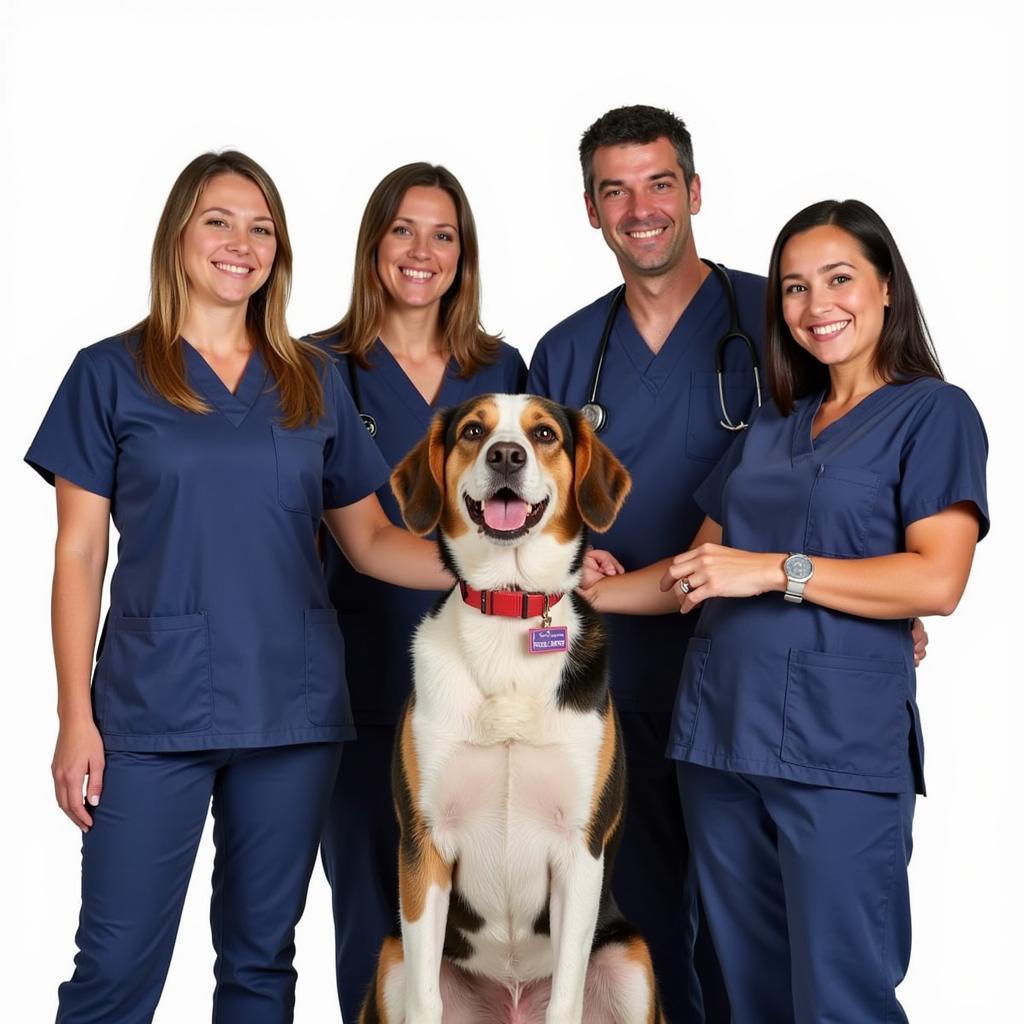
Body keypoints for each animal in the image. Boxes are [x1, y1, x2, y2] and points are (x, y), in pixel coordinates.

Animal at [360, 393, 663, 1024]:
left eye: (544, 434)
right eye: (474, 431)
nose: (505, 455)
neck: (508, 608)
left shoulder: (579, 849)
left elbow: (567, 996)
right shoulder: (424, 846)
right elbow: (425, 999)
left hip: (630, 957)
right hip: (391, 955)